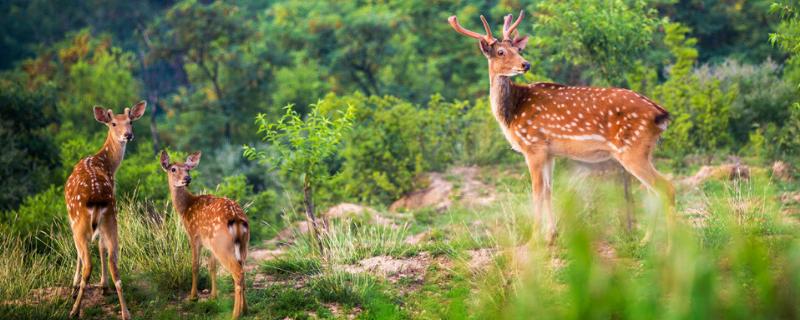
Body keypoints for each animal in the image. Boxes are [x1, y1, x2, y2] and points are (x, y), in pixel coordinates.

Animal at [64, 99, 147, 318]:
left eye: (130, 122)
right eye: (114, 123)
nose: (128, 135)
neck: (106, 163)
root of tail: (97, 198)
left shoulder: (72, 220)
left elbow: (79, 254)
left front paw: (74, 286)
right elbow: (102, 247)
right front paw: (103, 286)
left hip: (81, 222)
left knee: (87, 263)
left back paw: (75, 309)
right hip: (111, 218)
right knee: (114, 263)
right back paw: (125, 313)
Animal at [160, 151, 250, 318]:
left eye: (187, 169)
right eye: (173, 169)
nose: (187, 178)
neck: (186, 208)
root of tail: (236, 218)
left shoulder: (194, 236)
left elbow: (195, 265)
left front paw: (193, 297)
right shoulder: (209, 244)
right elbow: (211, 266)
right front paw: (213, 296)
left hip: (222, 244)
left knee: (237, 272)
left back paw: (235, 314)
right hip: (242, 244)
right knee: (243, 270)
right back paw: (245, 309)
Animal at [450, 11, 676, 244]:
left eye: (518, 50)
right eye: (501, 52)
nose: (525, 64)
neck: (511, 113)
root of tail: (661, 114)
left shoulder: (533, 146)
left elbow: (537, 192)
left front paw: (534, 239)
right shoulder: (549, 152)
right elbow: (549, 190)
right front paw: (551, 235)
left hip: (632, 149)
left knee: (666, 187)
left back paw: (669, 247)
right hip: (645, 150)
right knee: (652, 191)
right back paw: (646, 240)